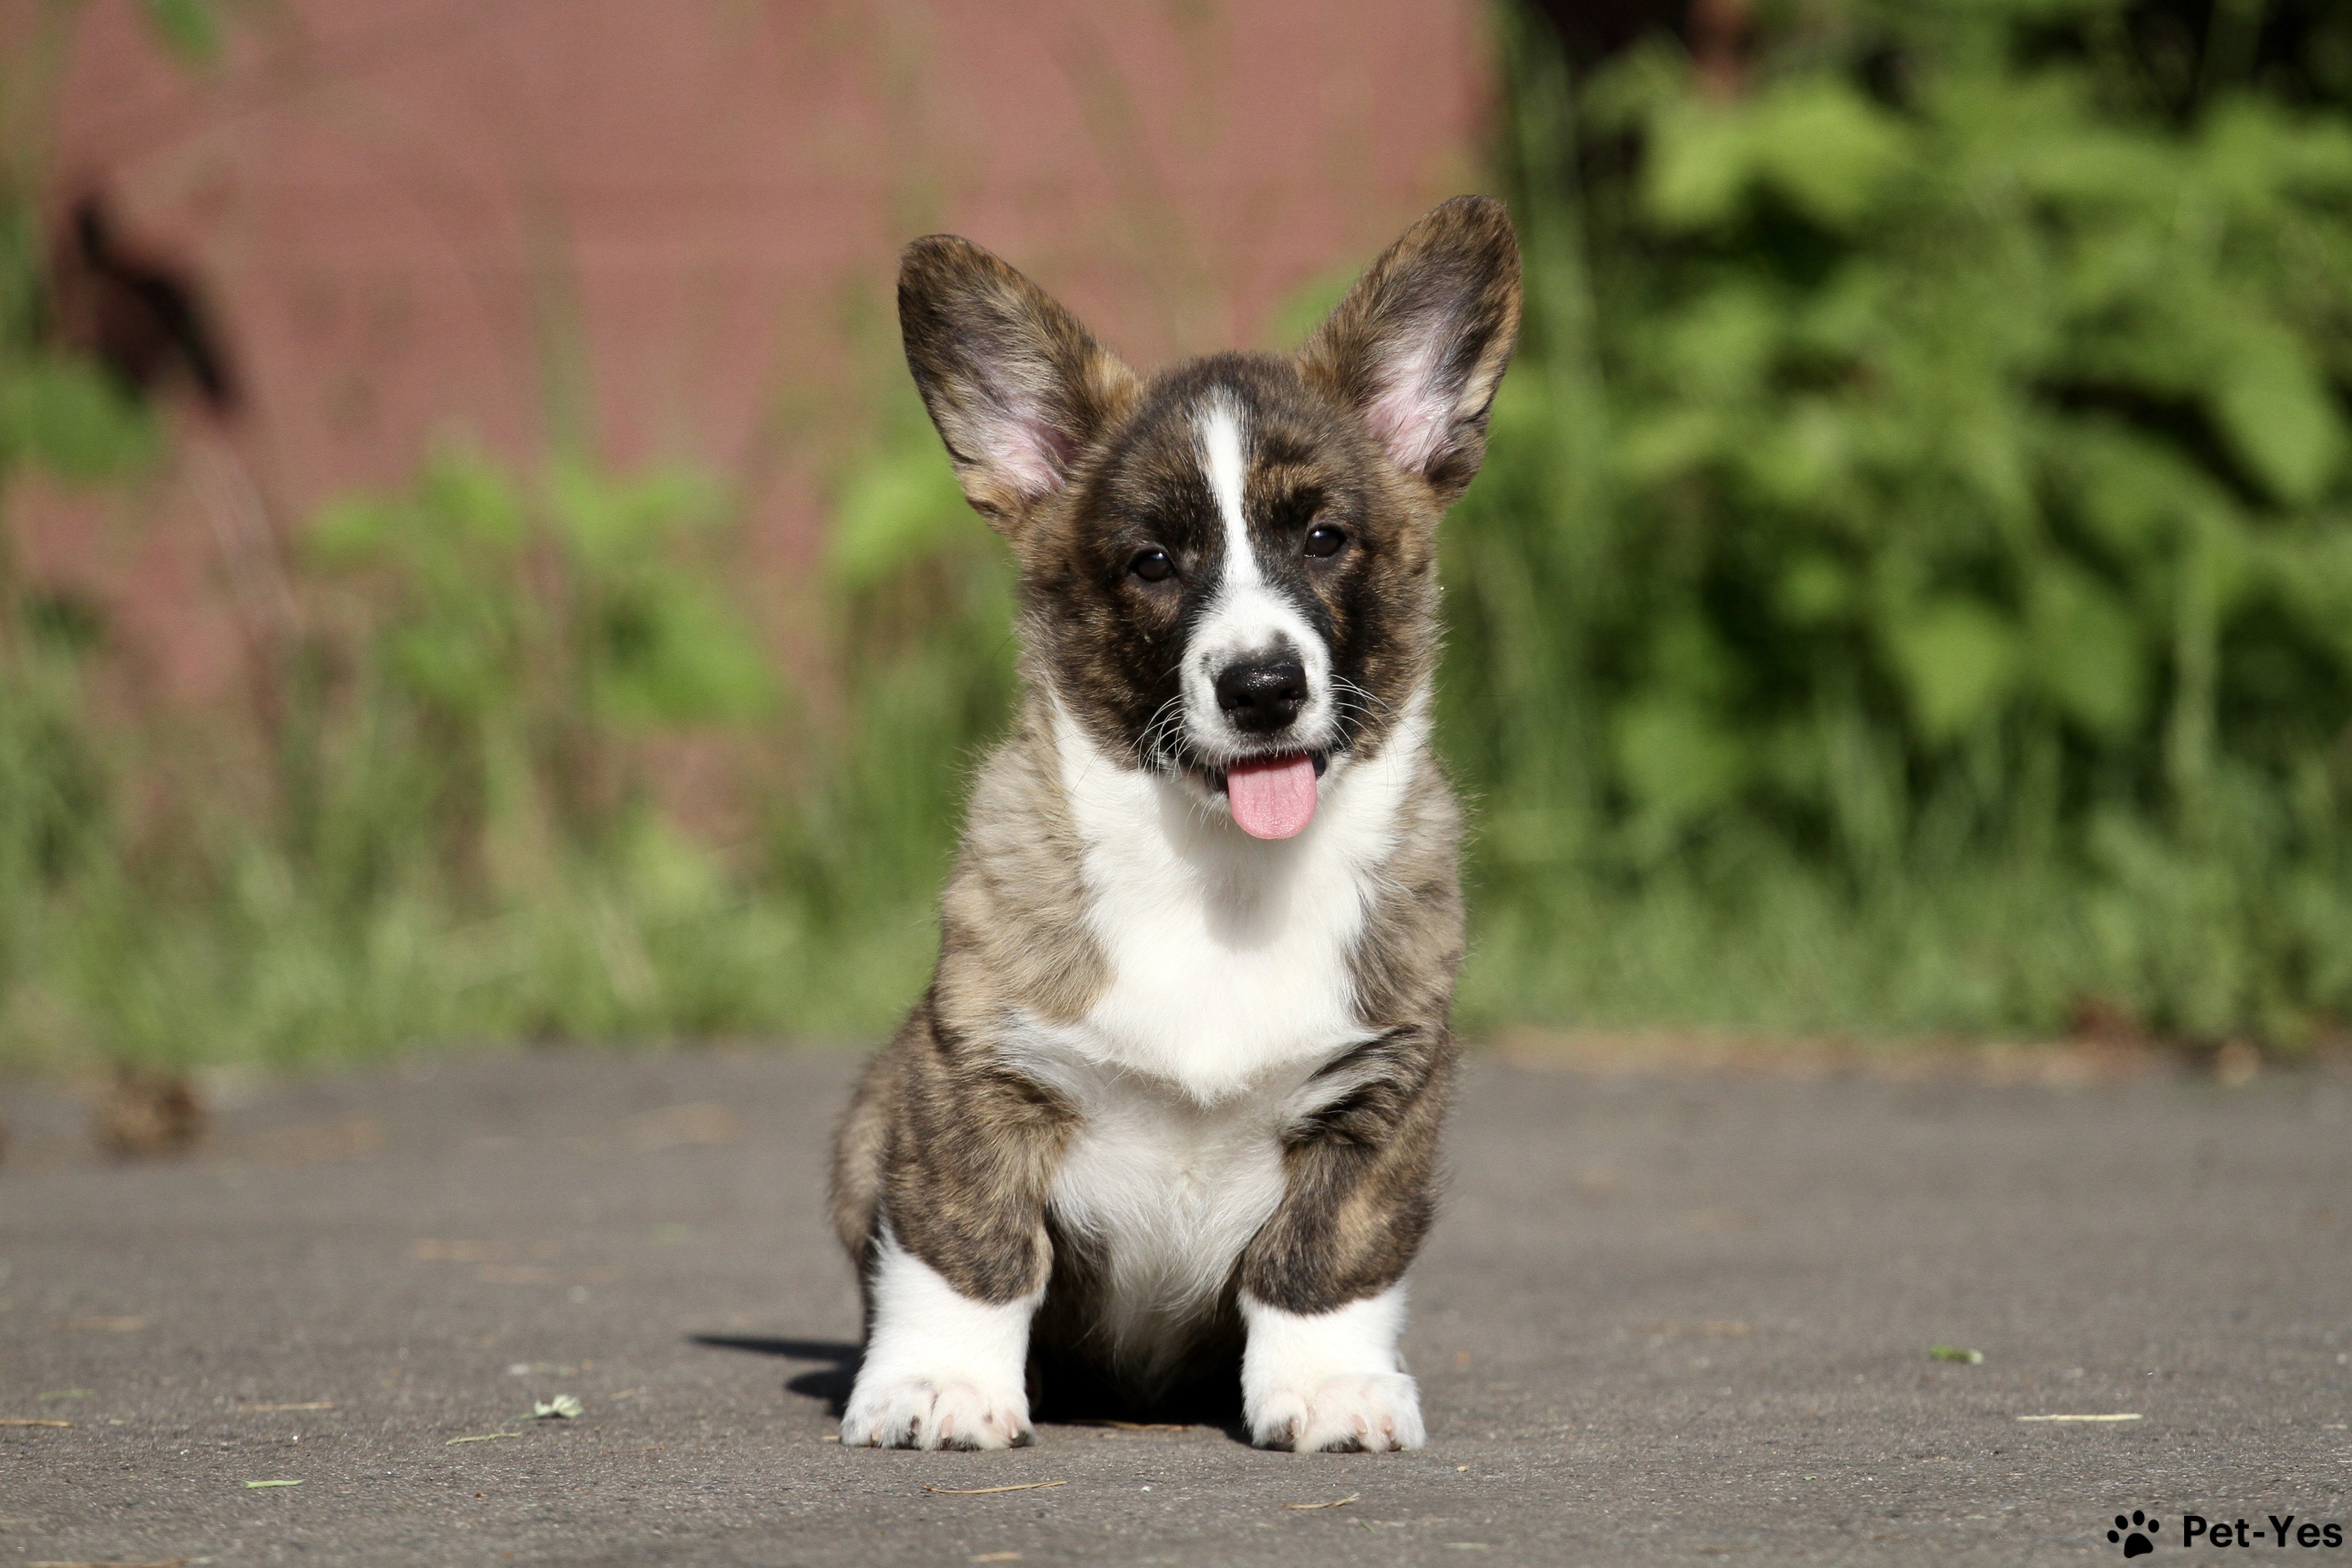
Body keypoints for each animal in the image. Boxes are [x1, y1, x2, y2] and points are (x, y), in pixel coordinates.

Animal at [832, 196, 1524, 1457]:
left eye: (1325, 538)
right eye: (1153, 561)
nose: (1262, 687)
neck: (1223, 874)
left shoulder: (1380, 1089)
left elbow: (1329, 1254)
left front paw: (1331, 1386)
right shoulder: (971, 1069)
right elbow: (968, 1240)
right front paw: (943, 1382)